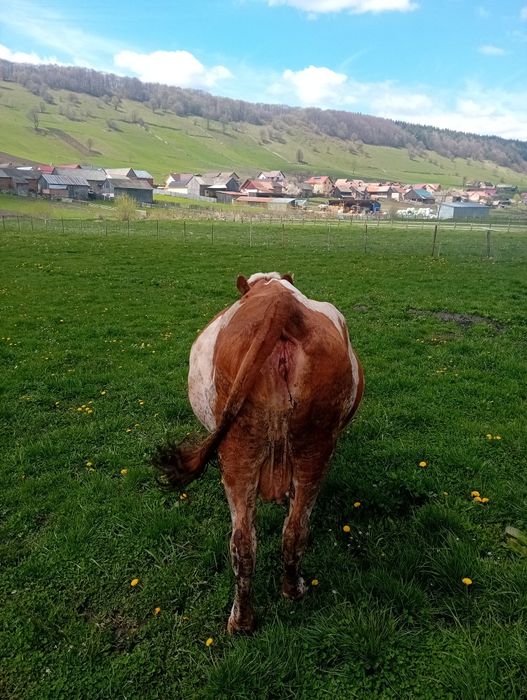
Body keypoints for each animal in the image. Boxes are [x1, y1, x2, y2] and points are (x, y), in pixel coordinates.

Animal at [154, 272, 364, 634]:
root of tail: (281, 307)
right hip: (313, 447)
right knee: (287, 533)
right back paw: (285, 596)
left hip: (238, 449)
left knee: (243, 541)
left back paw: (241, 620)